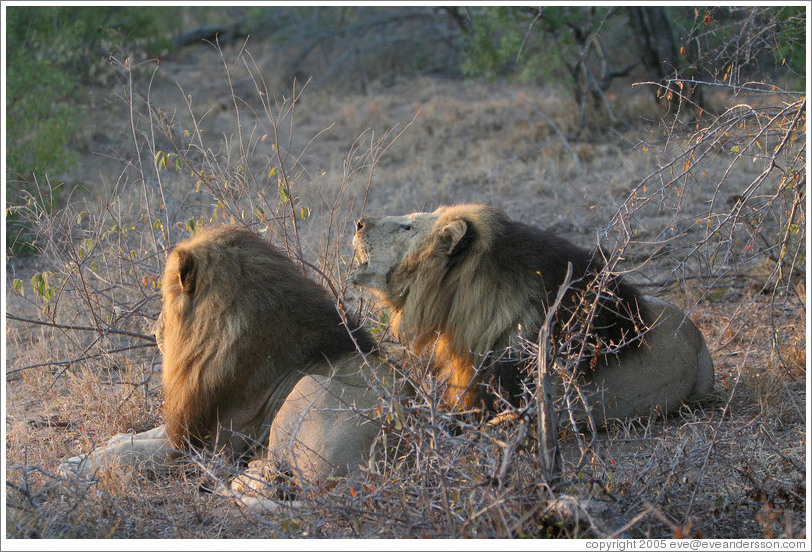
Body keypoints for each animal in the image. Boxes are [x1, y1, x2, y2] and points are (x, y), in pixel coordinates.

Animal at [61, 224, 392, 486]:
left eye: (165, 300)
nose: (154, 333)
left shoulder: (205, 445)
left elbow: (133, 452)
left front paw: (79, 464)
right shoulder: (190, 422)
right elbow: (140, 436)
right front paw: (95, 449)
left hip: (307, 389)